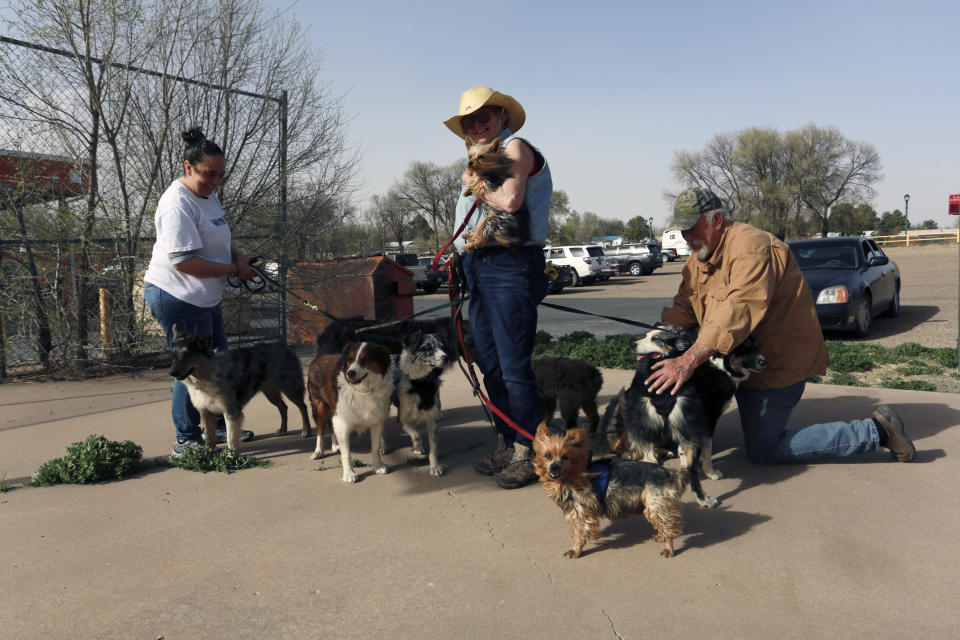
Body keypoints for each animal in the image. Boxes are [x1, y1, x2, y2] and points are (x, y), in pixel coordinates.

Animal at [169, 330, 310, 450]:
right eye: (174, 355)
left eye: (188, 353)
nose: (172, 372)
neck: (207, 375)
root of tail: (286, 347)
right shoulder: (206, 412)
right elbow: (209, 440)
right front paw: (209, 456)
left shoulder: (231, 412)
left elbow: (231, 440)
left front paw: (231, 457)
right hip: (271, 392)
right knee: (283, 407)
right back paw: (283, 430)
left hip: (291, 388)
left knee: (303, 407)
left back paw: (306, 430)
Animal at [310, 340, 396, 480]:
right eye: (350, 359)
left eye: (365, 359)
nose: (350, 373)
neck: (364, 390)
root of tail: (320, 357)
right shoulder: (341, 421)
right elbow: (346, 454)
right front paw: (349, 474)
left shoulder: (377, 420)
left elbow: (375, 448)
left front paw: (378, 466)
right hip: (320, 408)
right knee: (320, 430)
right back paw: (318, 451)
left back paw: (335, 445)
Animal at [394, 330, 462, 476]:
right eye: (428, 347)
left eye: (443, 346)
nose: (446, 357)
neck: (420, 383)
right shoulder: (401, 419)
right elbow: (416, 435)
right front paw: (417, 446)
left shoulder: (432, 420)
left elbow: (434, 449)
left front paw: (435, 467)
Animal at [532, 424, 684, 560]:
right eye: (547, 456)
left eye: (565, 457)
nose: (554, 467)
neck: (569, 477)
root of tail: (667, 472)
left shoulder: (580, 510)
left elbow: (580, 533)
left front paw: (575, 551)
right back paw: (660, 536)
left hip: (655, 502)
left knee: (667, 525)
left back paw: (668, 548)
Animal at [604, 324, 768, 510]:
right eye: (745, 349)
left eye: (656, 339)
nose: (764, 362)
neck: (720, 365)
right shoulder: (707, 421)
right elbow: (707, 452)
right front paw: (712, 473)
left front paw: (681, 457)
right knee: (691, 470)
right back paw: (705, 500)